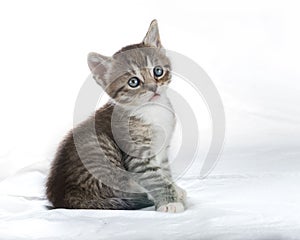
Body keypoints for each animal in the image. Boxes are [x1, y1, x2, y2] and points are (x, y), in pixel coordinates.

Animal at [45, 19, 186, 213]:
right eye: (133, 82)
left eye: (158, 71)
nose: (154, 88)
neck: (152, 110)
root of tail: (63, 199)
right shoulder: (136, 153)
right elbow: (154, 178)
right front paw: (169, 202)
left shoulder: (162, 150)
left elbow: (165, 171)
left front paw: (175, 190)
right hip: (103, 150)